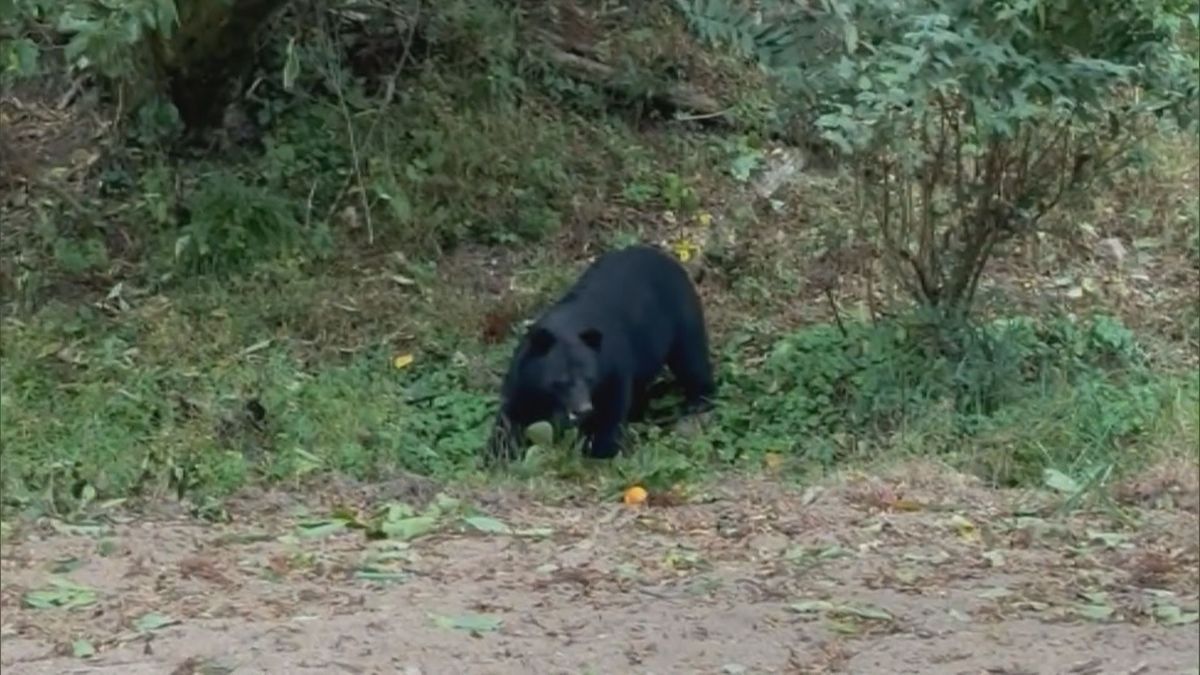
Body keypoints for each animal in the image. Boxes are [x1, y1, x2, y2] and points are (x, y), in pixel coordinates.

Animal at [484, 243, 710, 458]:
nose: (583, 408)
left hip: (680, 315)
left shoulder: (611, 368)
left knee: (691, 360)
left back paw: (698, 402)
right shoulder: (525, 377)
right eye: (561, 381)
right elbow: (513, 413)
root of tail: (666, 258)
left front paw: (602, 451)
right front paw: (499, 452)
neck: (565, 328)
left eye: (589, 378)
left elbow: (609, 412)